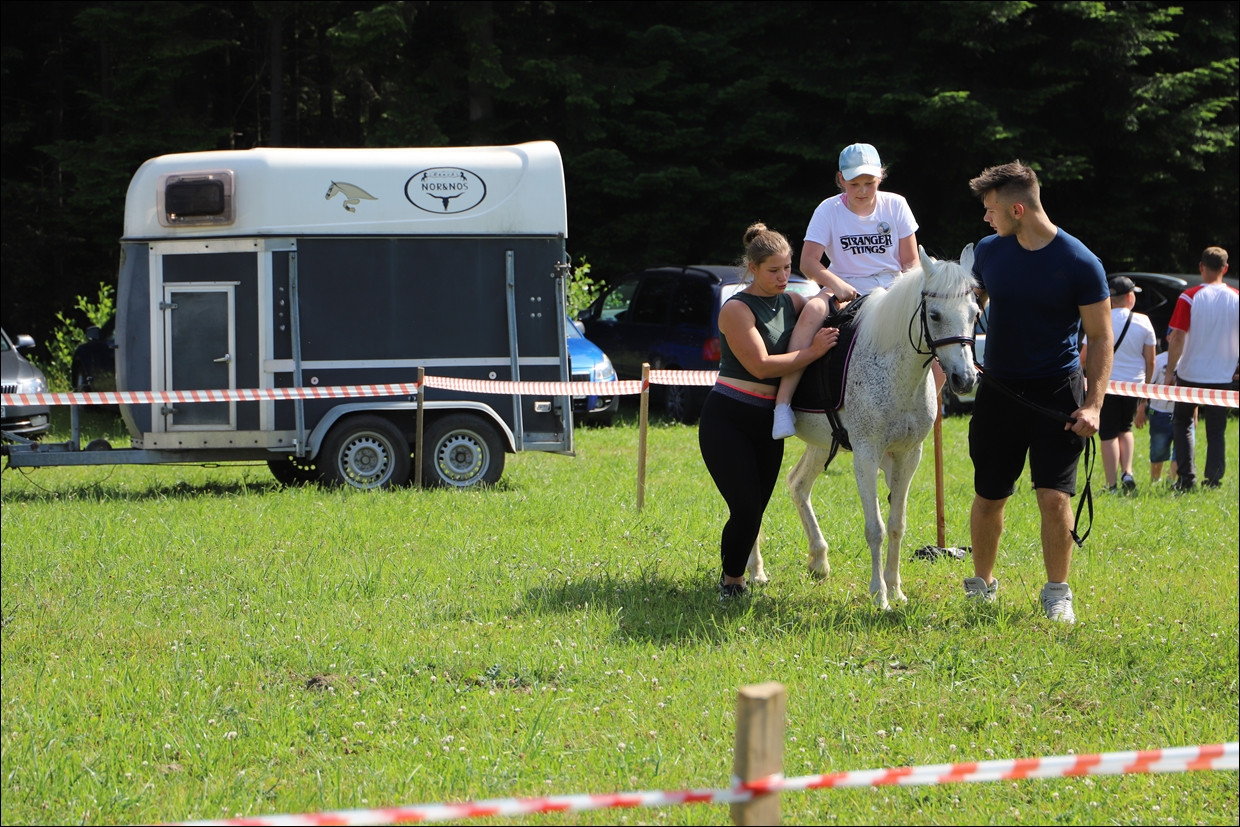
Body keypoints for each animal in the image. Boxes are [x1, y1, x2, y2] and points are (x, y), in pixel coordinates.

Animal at [748, 245, 981, 610]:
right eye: (935, 315)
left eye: (974, 313)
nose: (965, 379)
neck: (895, 369)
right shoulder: (866, 455)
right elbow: (876, 529)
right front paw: (879, 595)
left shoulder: (908, 455)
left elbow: (897, 524)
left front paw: (896, 589)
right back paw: (756, 570)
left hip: (819, 444)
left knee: (797, 485)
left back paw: (818, 560)